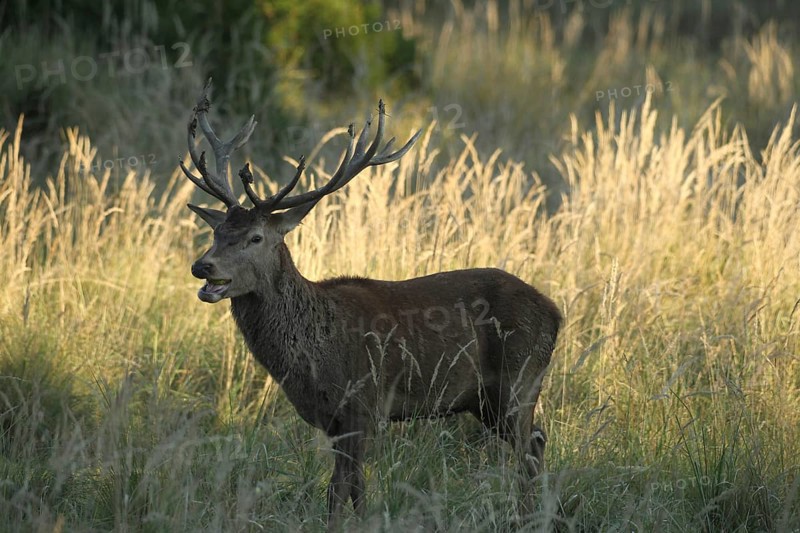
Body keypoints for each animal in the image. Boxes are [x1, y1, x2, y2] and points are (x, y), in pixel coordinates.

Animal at [181, 80, 561, 528]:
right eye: (217, 232)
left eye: (255, 237)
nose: (202, 266)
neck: (313, 356)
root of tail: (555, 312)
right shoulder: (334, 420)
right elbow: (356, 488)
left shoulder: (362, 403)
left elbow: (338, 490)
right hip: (486, 401)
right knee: (537, 442)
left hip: (519, 380)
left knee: (530, 449)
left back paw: (529, 518)